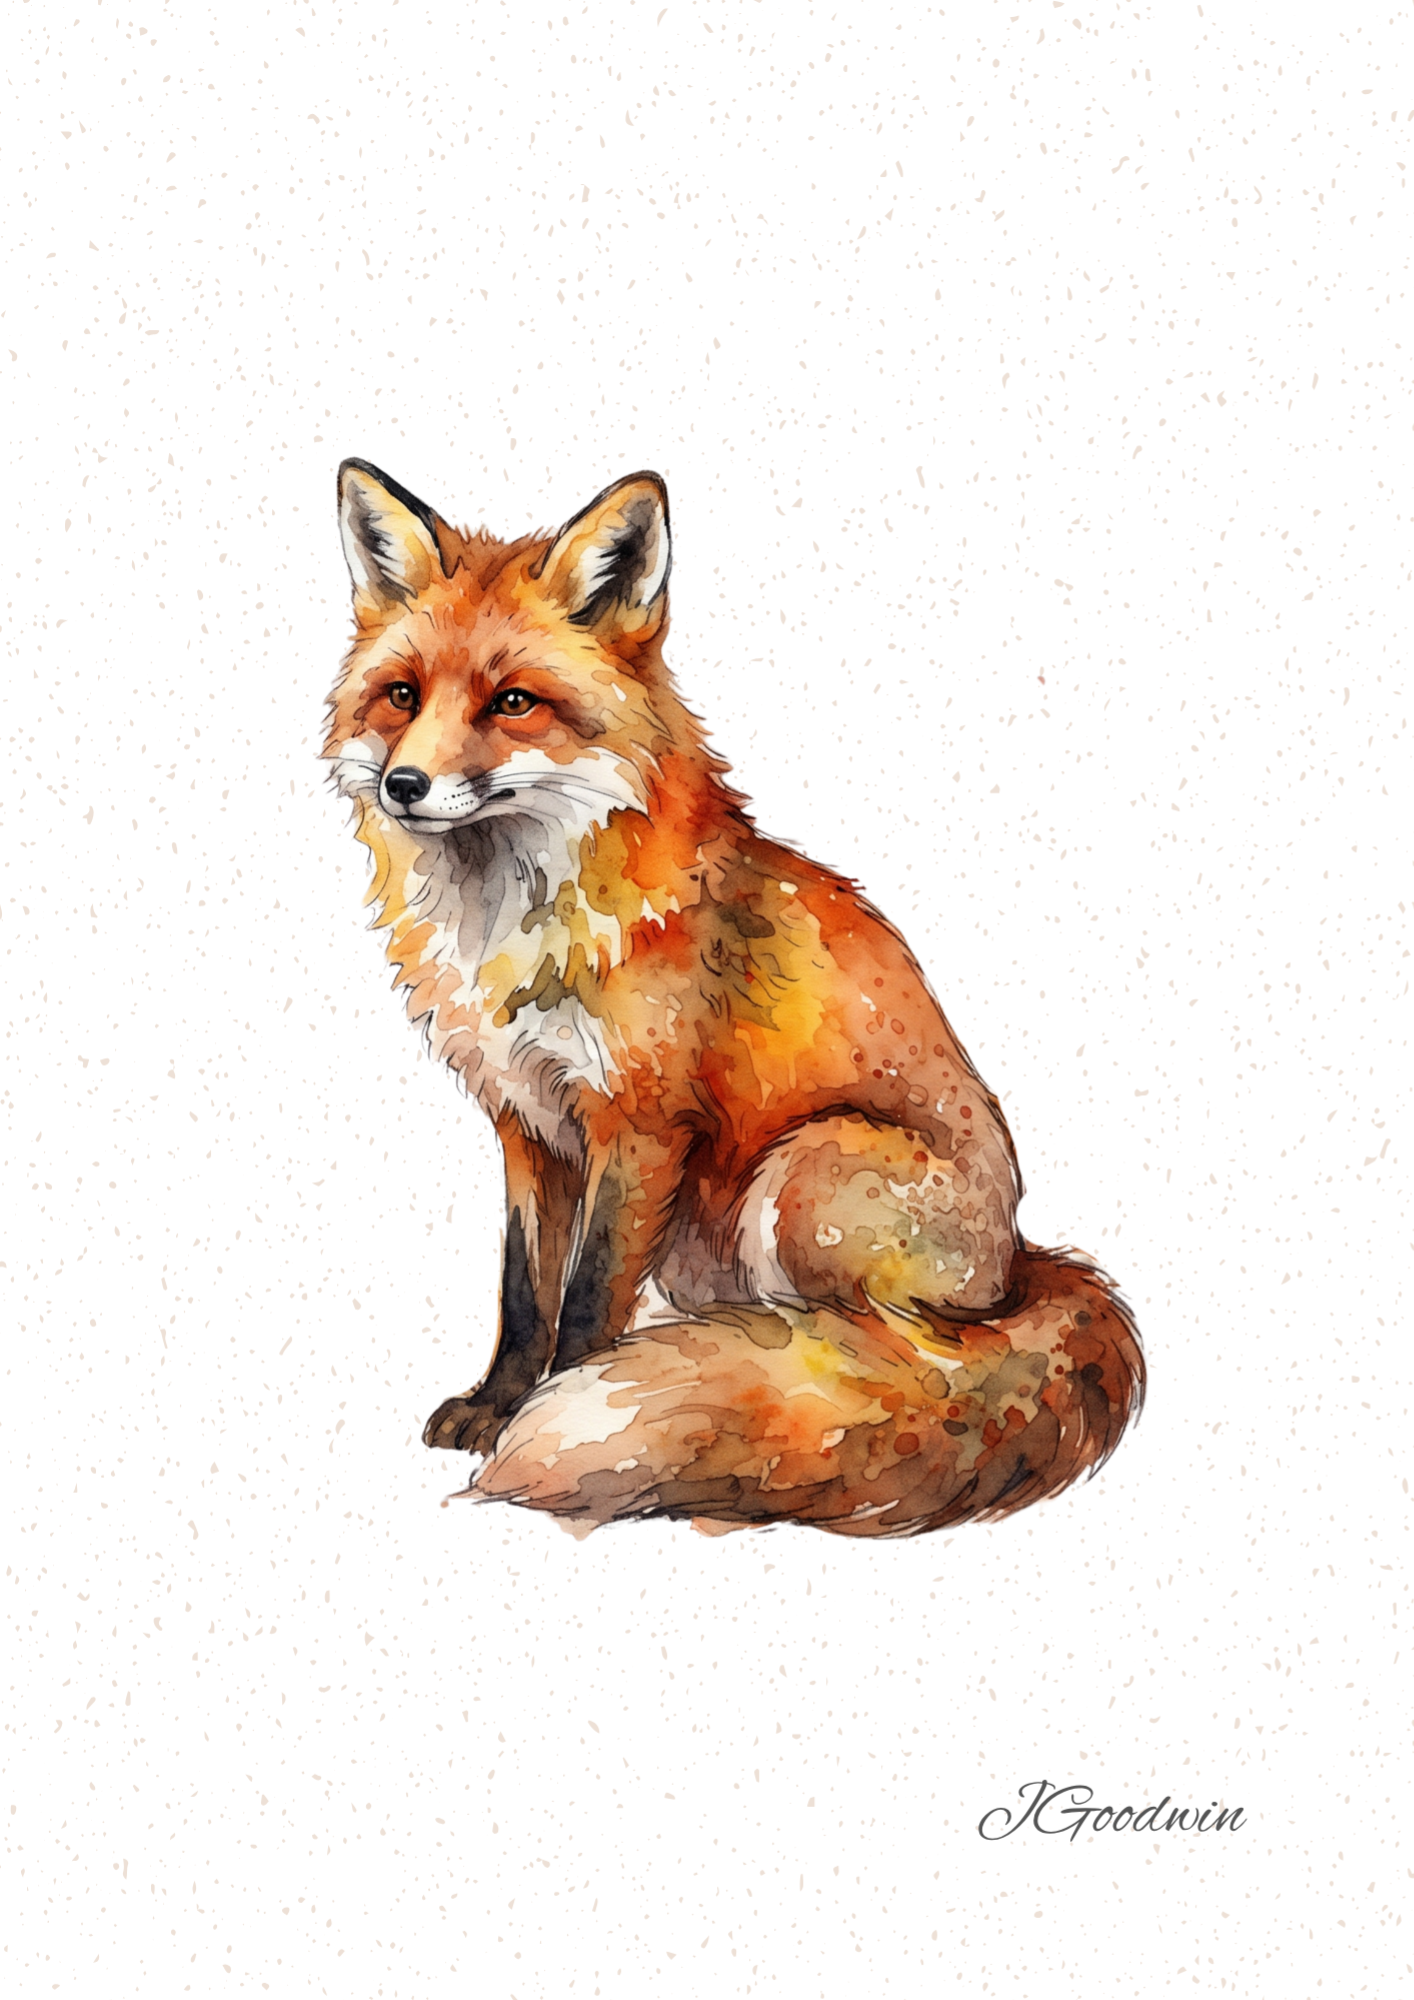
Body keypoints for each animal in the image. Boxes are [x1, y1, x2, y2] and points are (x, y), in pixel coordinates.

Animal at [325, 459, 1144, 1538]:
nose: (405, 784)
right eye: (401, 695)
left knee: (887, 1352)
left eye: (513, 701)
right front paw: (497, 1404)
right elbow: (521, 1289)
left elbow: (585, 1298)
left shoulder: (639, 1122)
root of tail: (1022, 1267)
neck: (510, 924)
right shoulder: (527, 1122)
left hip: (803, 1171)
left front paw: (557, 1406)